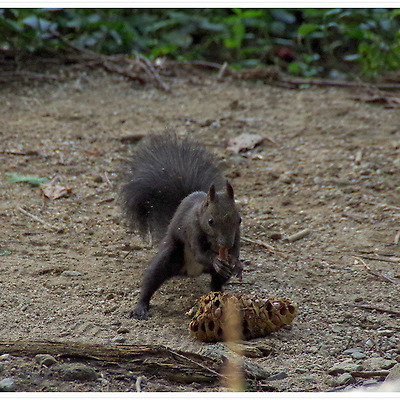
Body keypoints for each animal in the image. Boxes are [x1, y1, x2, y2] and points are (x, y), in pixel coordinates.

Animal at [120, 134, 242, 318]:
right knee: (151, 279)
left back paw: (219, 296)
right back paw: (141, 307)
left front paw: (235, 263)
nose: (226, 243)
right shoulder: (192, 230)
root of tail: (191, 271)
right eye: (210, 221)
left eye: (239, 219)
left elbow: (235, 250)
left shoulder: (237, 235)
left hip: (215, 275)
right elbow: (200, 252)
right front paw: (216, 259)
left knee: (216, 282)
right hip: (170, 257)